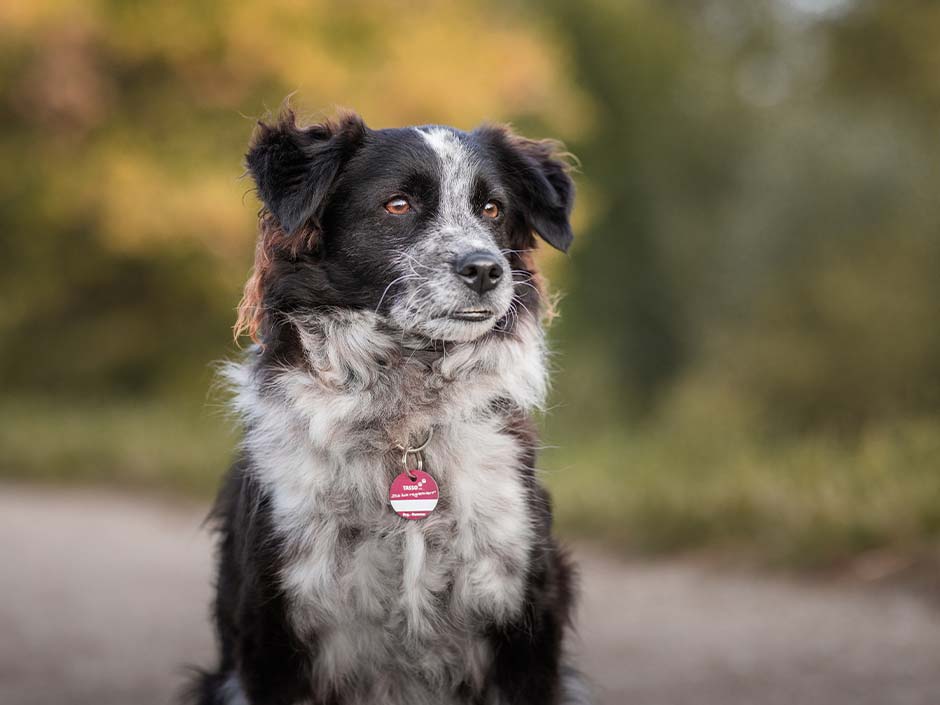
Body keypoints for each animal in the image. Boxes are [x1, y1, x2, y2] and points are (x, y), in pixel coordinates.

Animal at [185, 108, 588, 704]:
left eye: (492, 209)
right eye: (397, 204)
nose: (486, 269)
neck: (404, 416)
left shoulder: (522, 622)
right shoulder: (275, 633)